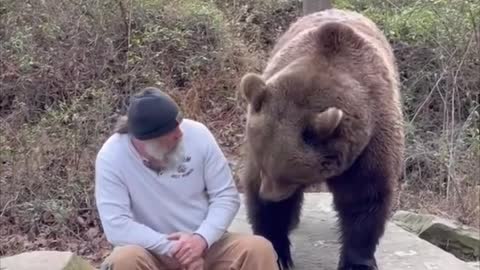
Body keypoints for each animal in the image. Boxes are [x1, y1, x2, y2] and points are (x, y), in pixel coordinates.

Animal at [238, 7, 404, 270]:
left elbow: (365, 195)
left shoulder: (373, 139)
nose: (270, 195)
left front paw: (357, 262)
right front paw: (278, 251)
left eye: (289, 175)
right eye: (265, 166)